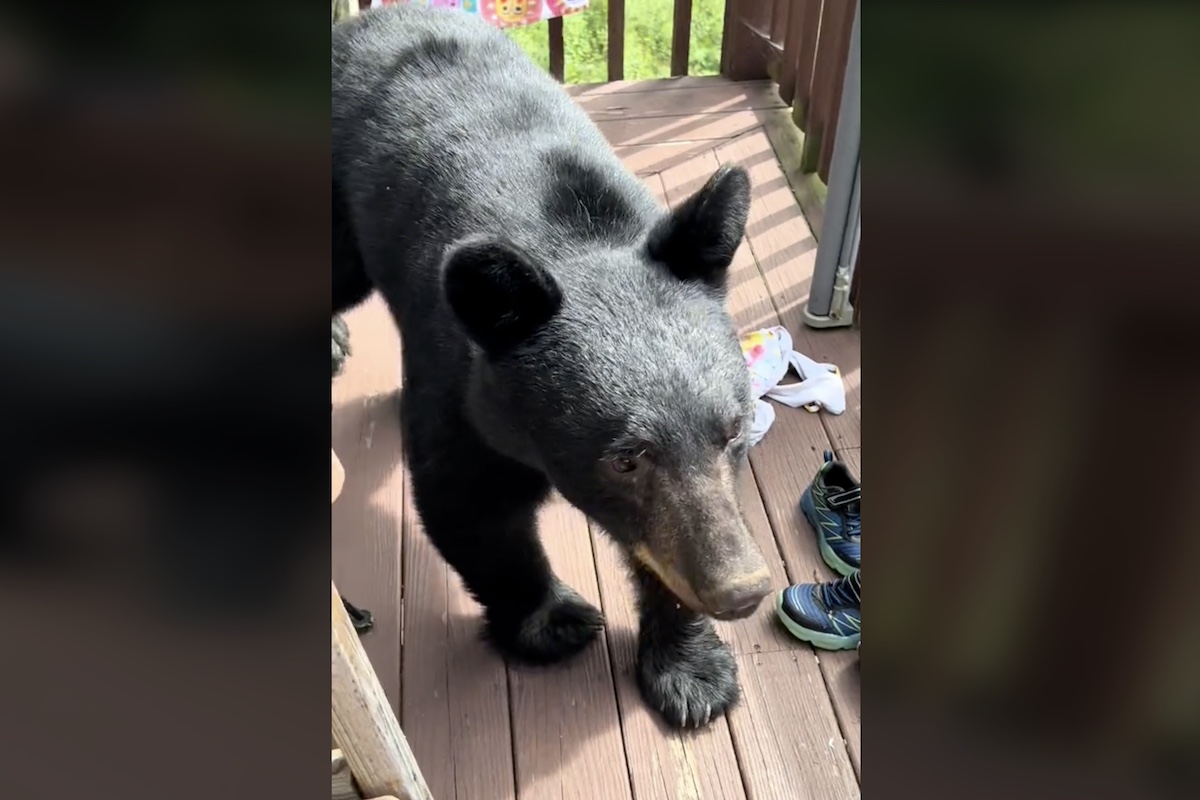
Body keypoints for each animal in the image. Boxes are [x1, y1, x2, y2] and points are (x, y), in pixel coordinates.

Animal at [332, 5, 771, 729]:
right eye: (626, 457)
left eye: (734, 431)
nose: (744, 590)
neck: (573, 233)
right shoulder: (461, 384)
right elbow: (471, 506)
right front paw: (553, 623)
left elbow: (663, 541)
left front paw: (692, 671)